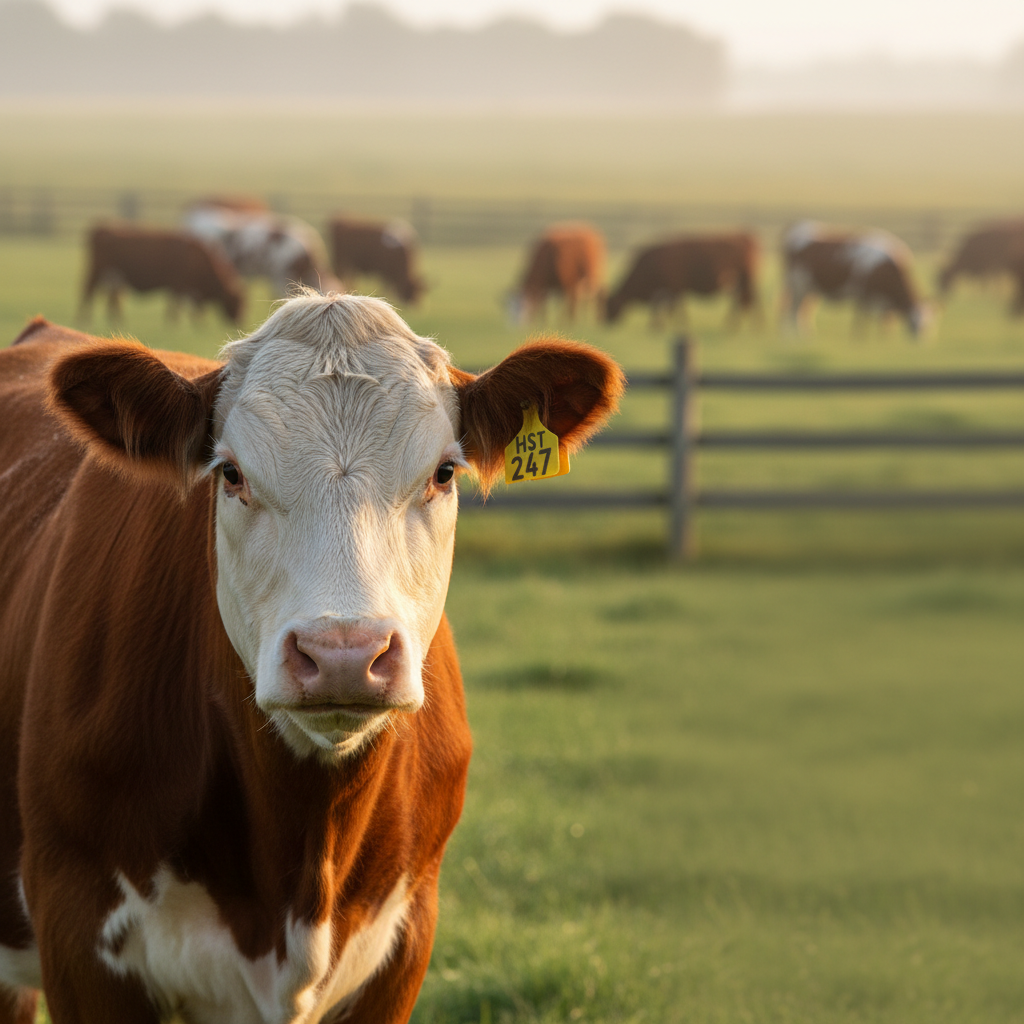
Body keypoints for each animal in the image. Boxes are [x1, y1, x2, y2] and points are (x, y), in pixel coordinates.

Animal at [81, 224, 244, 325]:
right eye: (237, 301)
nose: (238, 321)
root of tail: (102, 229)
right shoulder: (178, 283)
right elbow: (176, 303)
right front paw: (173, 322)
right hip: (98, 271)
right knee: (89, 291)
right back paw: (86, 320)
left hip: (113, 276)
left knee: (112, 298)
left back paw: (116, 320)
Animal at [604, 233, 759, 327]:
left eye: (611, 305)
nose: (607, 322)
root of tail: (746, 236)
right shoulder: (671, 290)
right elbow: (665, 307)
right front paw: (660, 325)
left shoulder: (674, 288)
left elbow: (673, 307)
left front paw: (667, 325)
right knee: (744, 302)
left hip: (743, 281)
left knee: (746, 302)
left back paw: (740, 326)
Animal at [782, 221, 927, 336]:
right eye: (913, 323)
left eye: (926, 325)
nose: (920, 340)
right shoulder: (863, 293)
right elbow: (861, 318)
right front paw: (858, 337)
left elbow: (883, 320)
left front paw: (884, 338)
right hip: (797, 286)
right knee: (793, 310)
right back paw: (795, 336)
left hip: (810, 288)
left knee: (803, 310)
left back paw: (806, 334)